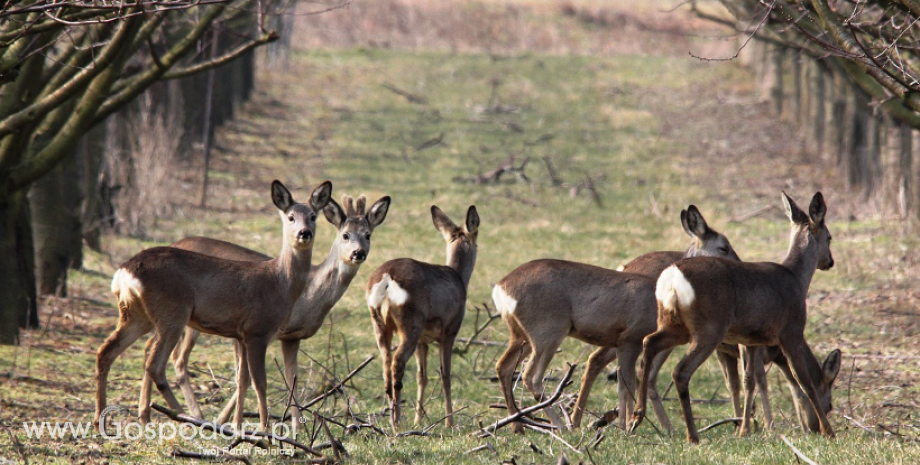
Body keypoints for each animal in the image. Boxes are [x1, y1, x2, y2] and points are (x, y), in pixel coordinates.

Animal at [92, 179, 330, 430]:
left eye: (313, 216)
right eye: (291, 217)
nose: (304, 233)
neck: (280, 283)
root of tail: (124, 271)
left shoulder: (241, 335)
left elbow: (242, 379)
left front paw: (238, 427)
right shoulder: (257, 331)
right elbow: (260, 383)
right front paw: (264, 429)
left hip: (136, 315)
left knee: (106, 352)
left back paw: (100, 419)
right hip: (172, 312)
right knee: (155, 364)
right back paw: (187, 418)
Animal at [171, 194, 390, 422]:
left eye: (368, 235)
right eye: (345, 235)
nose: (358, 253)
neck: (308, 296)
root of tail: (175, 241)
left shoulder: (291, 336)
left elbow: (290, 380)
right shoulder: (256, 331)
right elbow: (246, 379)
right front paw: (224, 420)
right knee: (179, 359)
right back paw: (195, 415)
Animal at [366, 205, 482, 426]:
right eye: (477, 241)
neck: (459, 278)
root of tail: (386, 280)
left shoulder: (423, 340)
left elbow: (423, 377)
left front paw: (418, 420)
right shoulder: (450, 331)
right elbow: (445, 375)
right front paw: (449, 422)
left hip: (379, 324)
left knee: (386, 363)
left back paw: (392, 416)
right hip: (410, 322)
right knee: (397, 362)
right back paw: (397, 421)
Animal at [632, 191, 840, 442]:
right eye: (829, 237)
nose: (830, 261)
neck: (796, 279)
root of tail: (672, 277)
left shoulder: (750, 340)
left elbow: (749, 380)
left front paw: (745, 428)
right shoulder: (791, 332)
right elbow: (805, 382)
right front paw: (829, 431)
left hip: (673, 324)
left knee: (649, 342)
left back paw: (637, 417)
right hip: (709, 328)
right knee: (680, 371)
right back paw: (692, 435)